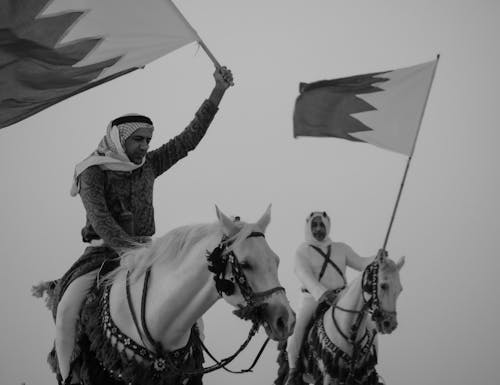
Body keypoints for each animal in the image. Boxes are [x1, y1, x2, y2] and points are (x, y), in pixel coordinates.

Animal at [276, 252, 404, 384]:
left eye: (400, 289)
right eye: (383, 286)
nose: (389, 323)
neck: (349, 332)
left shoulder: (362, 376)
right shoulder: (329, 374)